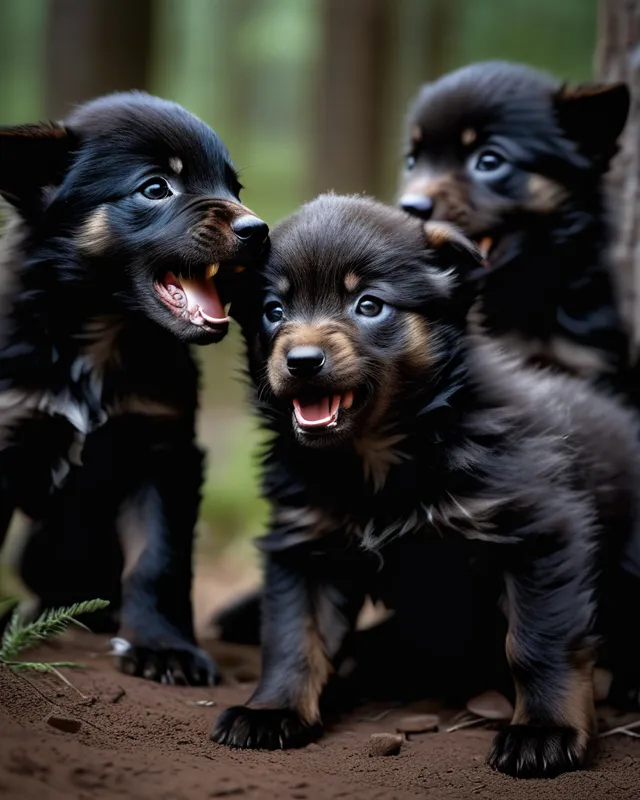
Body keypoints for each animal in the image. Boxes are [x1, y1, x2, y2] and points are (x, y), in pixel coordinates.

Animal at [0, 92, 268, 680]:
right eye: (155, 187)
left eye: (234, 187)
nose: (260, 230)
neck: (100, 337)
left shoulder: (162, 450)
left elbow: (157, 561)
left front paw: (162, 646)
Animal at [212, 197, 640, 780]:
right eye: (274, 311)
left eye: (369, 305)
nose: (301, 362)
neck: (379, 457)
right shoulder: (304, 545)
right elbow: (292, 635)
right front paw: (272, 710)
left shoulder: (541, 531)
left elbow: (538, 640)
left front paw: (544, 731)